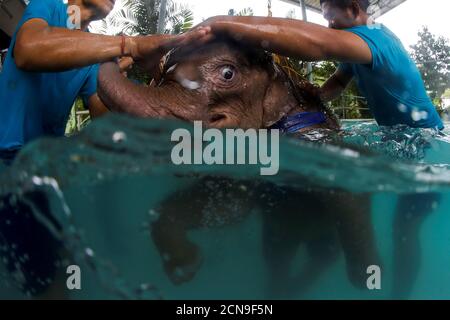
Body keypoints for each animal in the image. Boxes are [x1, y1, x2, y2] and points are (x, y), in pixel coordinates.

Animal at [98, 36, 380, 296]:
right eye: (159, 77)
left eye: (227, 74)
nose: (122, 55)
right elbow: (230, 206)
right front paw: (186, 267)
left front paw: (365, 273)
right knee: (278, 254)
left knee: (321, 253)